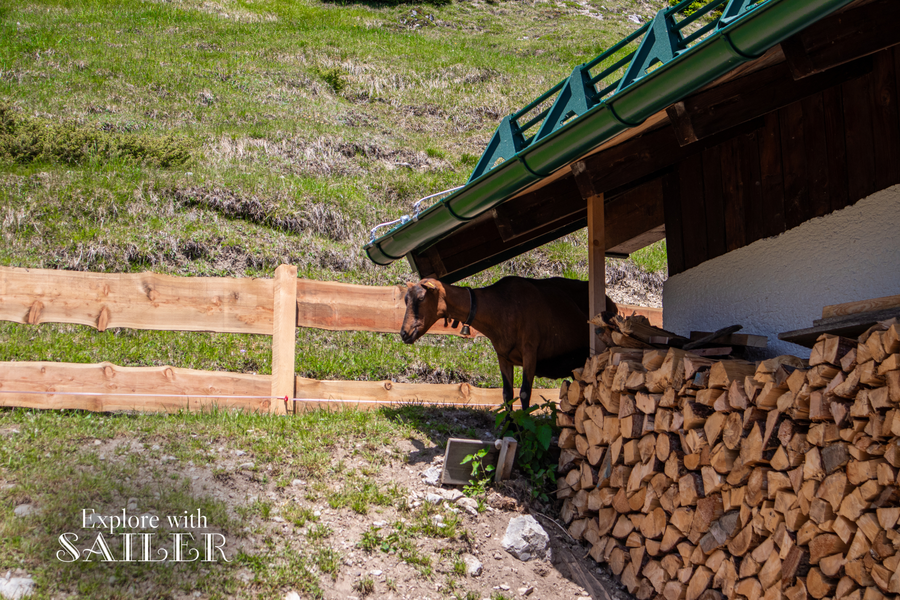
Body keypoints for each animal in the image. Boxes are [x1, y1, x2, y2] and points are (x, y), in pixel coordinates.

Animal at [400, 277, 617, 411]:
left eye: (421, 297)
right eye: (405, 300)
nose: (404, 333)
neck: (502, 306)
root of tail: (612, 303)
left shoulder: (530, 352)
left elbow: (524, 392)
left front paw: (523, 428)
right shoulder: (503, 356)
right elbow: (507, 394)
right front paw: (508, 427)